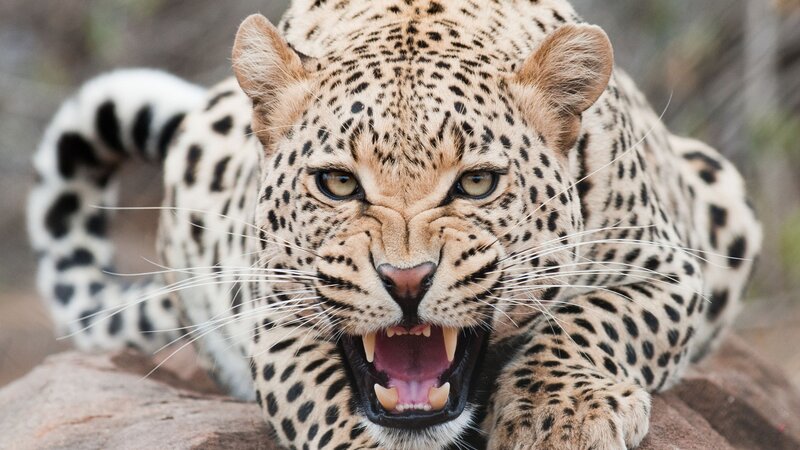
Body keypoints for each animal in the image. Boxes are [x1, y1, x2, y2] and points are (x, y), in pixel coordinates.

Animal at [28, 0, 762, 448]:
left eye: (476, 183)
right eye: (337, 183)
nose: (407, 280)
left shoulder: (669, 268)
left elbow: (595, 318)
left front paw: (560, 417)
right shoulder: (275, 315)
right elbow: (324, 402)